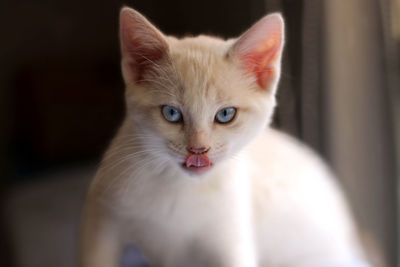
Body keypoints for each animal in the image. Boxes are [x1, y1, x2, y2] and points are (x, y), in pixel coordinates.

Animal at [79, 6, 370, 267]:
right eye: (171, 113)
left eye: (226, 114)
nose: (198, 150)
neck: (179, 185)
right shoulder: (101, 218)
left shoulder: (230, 237)